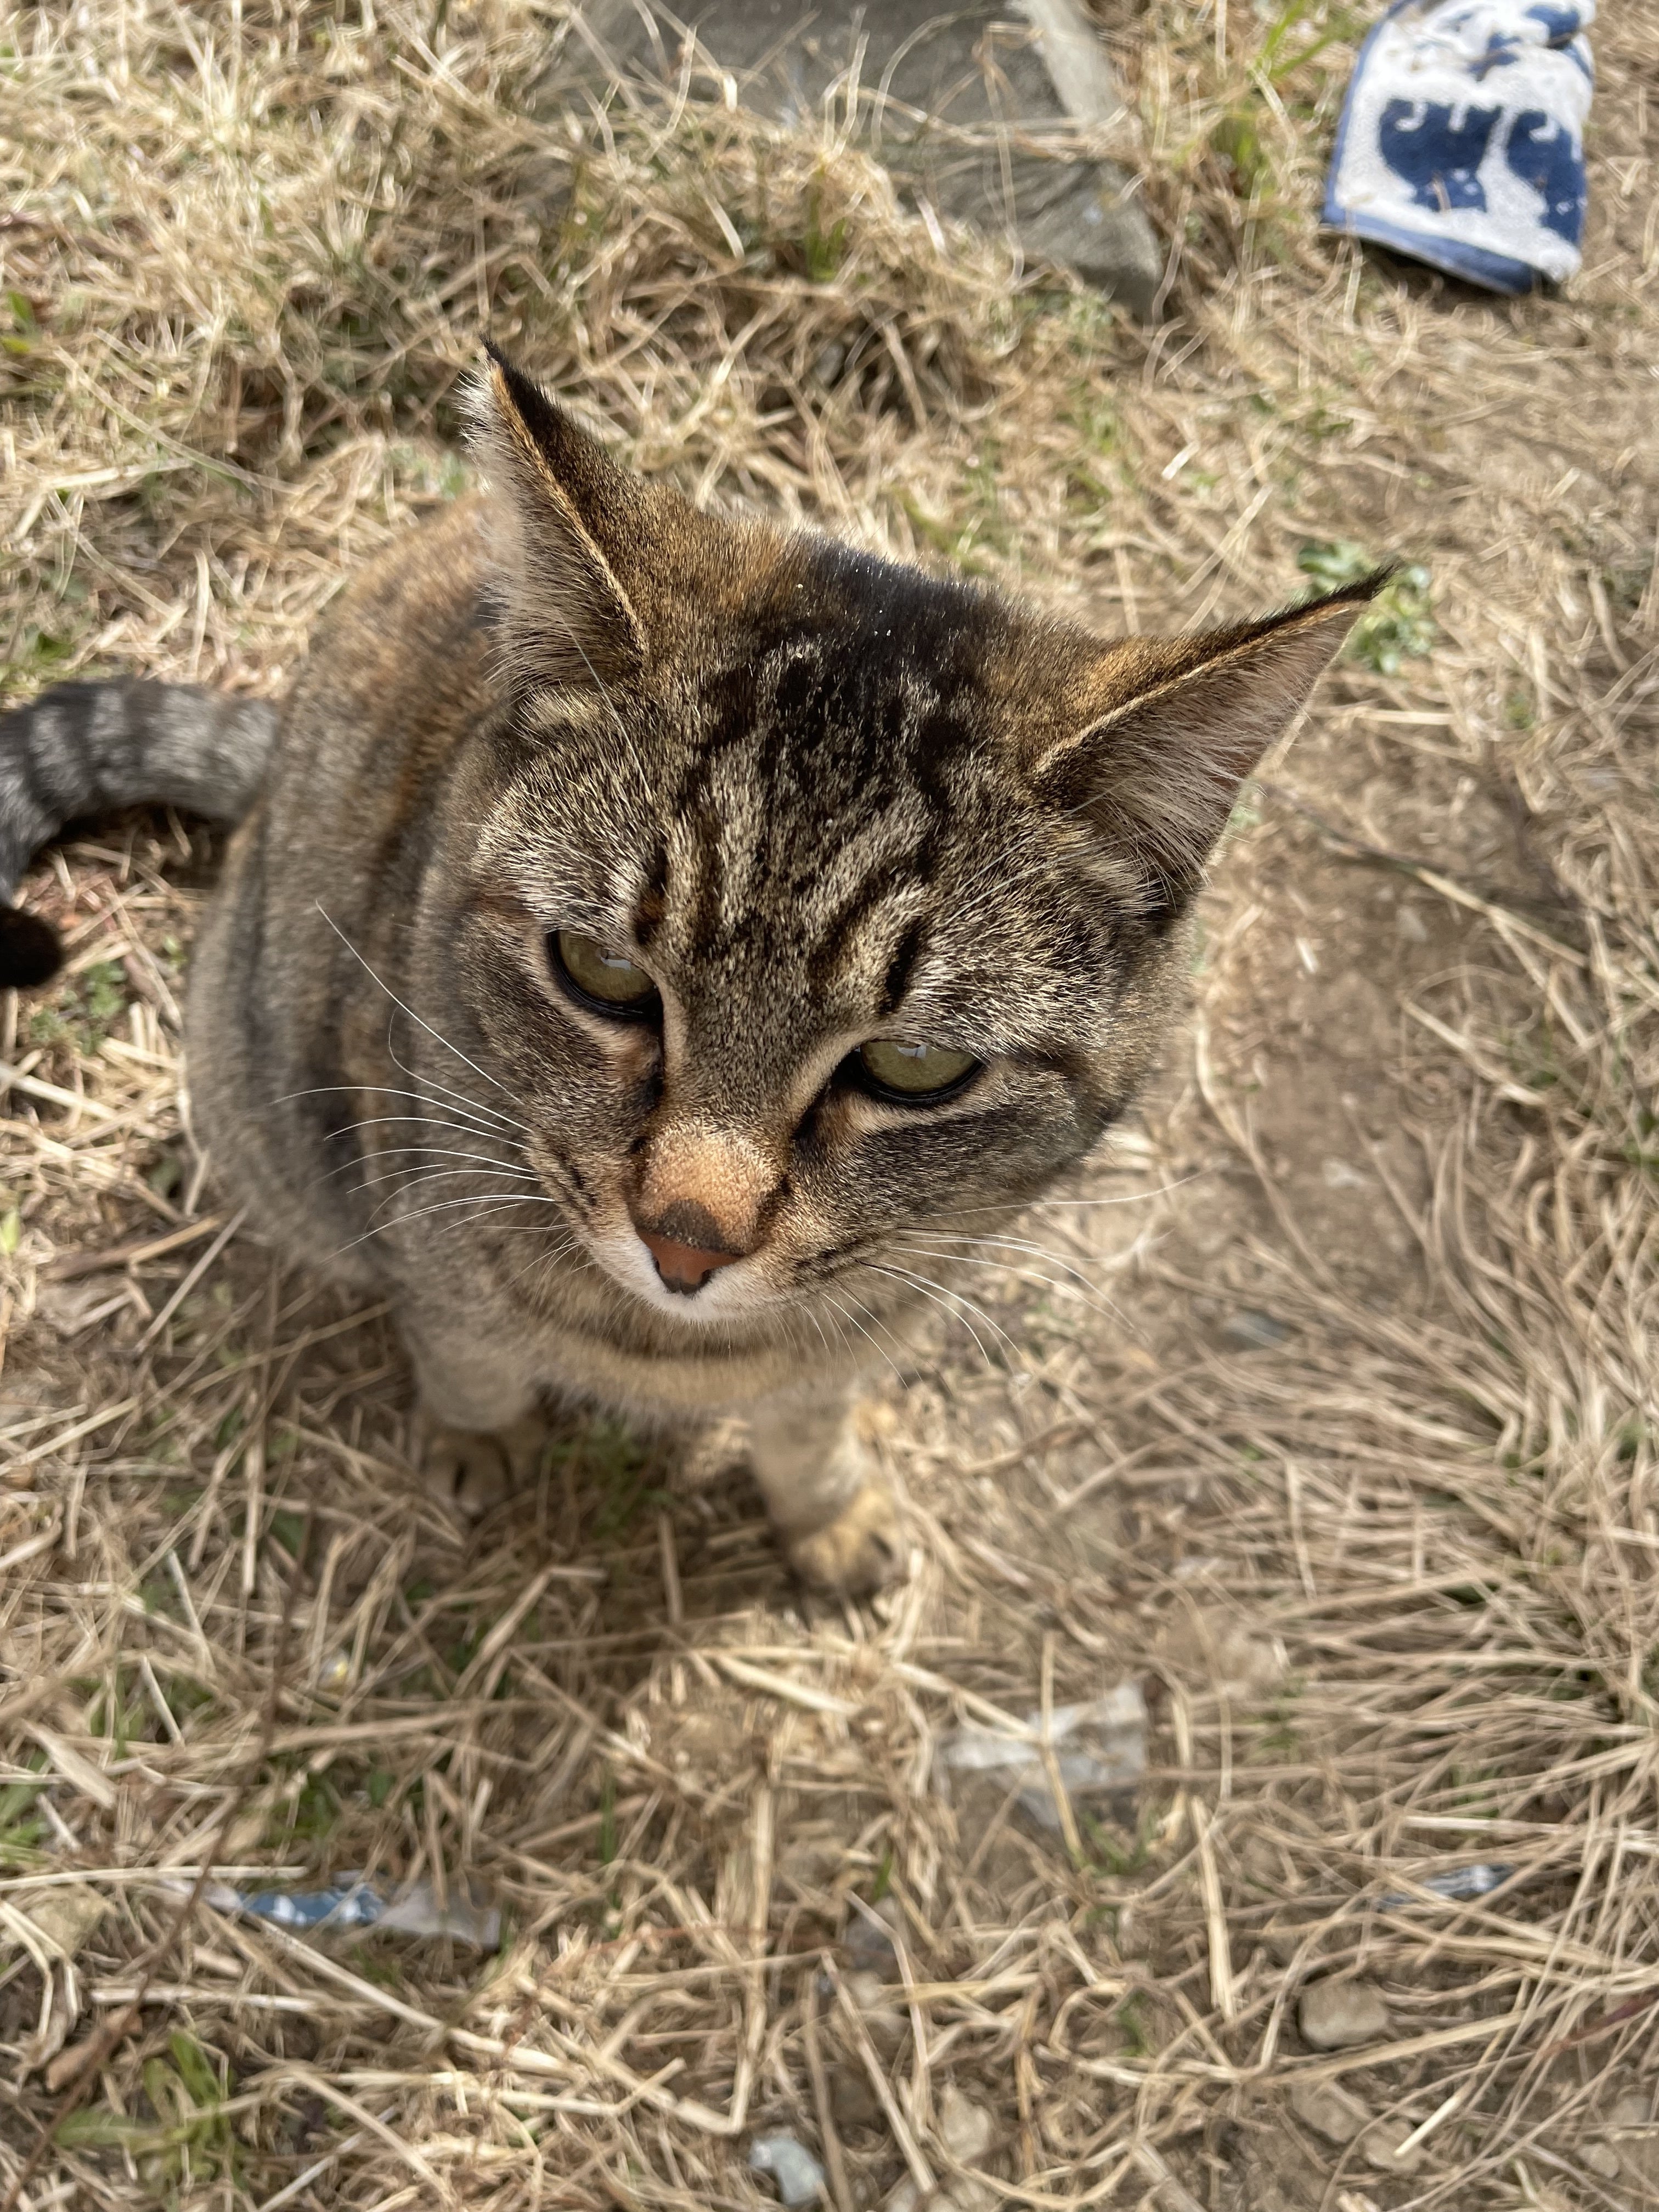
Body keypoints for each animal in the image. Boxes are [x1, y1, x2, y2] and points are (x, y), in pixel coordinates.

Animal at [0, 344, 1379, 1592]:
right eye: (601, 972)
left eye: (913, 1065)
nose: (685, 1238)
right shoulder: (416, 1211)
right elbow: (465, 1350)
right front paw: (476, 1439)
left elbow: (810, 1417)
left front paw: (830, 1510)